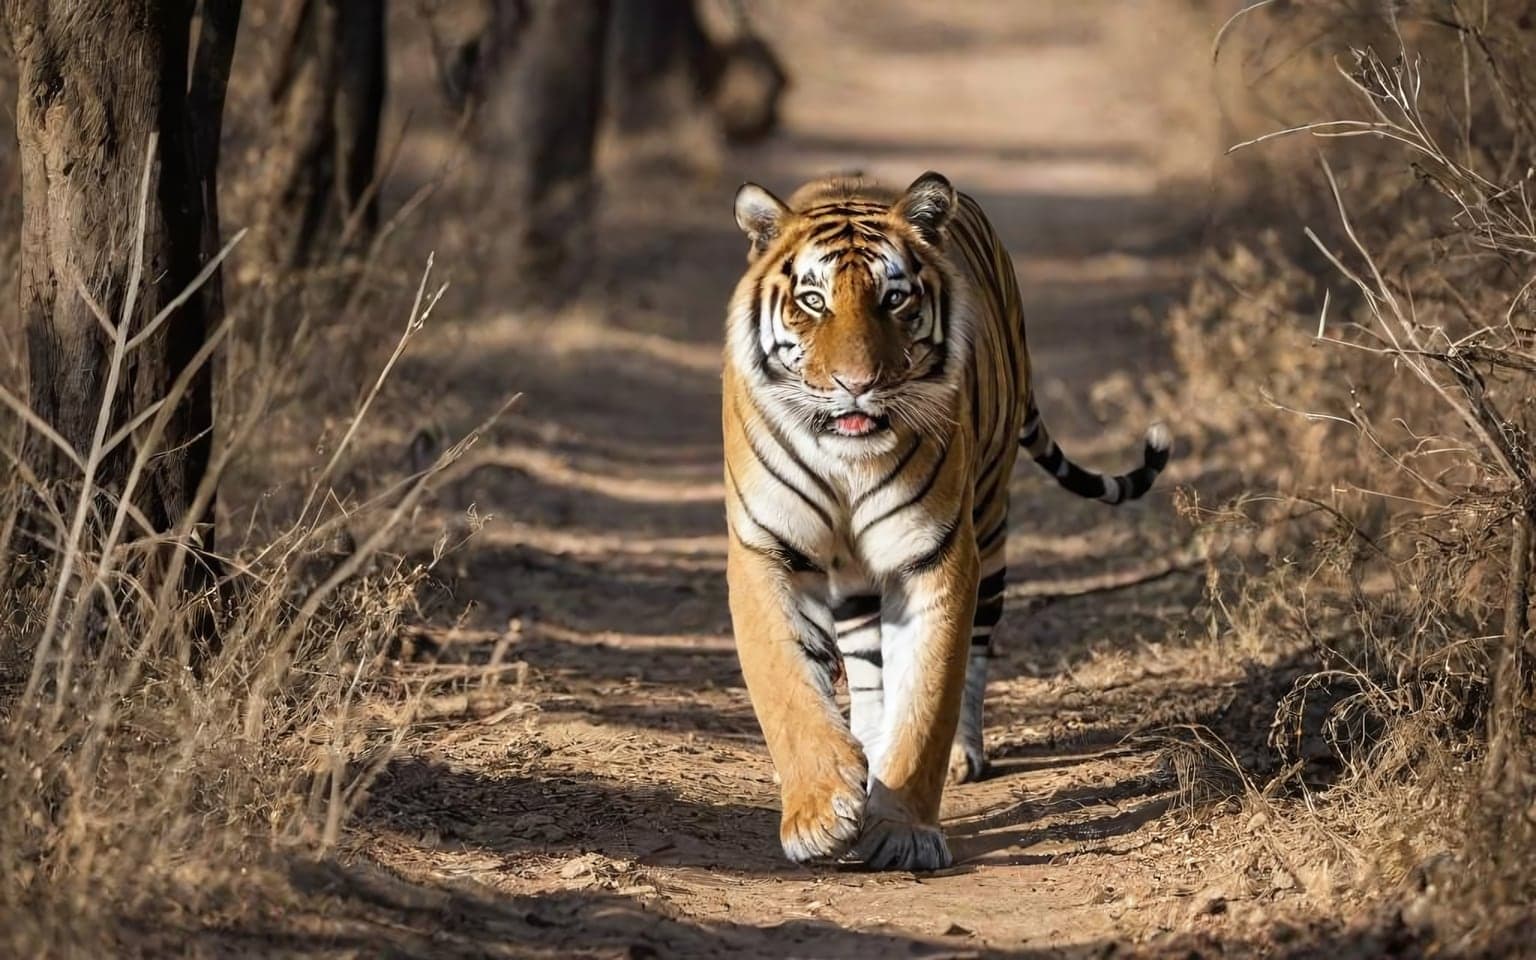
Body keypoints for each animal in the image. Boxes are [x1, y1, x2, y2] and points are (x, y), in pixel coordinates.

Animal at [721, 171, 1170, 871]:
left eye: (894, 298)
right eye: (813, 300)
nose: (856, 383)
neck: (847, 460)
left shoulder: (935, 554)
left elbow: (929, 693)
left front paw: (904, 831)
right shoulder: (766, 548)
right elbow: (786, 685)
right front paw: (821, 811)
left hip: (990, 521)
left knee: (974, 649)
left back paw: (958, 756)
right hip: (858, 575)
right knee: (867, 666)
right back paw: (864, 749)